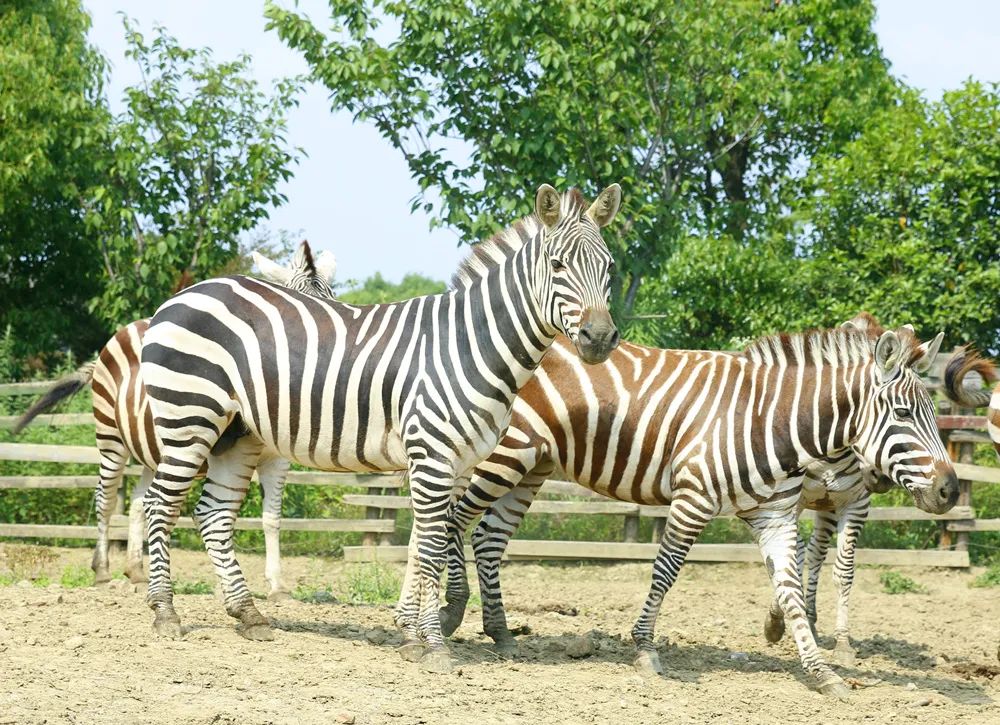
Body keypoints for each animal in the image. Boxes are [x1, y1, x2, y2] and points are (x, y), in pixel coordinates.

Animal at [13, 243, 338, 600]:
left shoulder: (277, 459)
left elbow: (271, 517)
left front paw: (277, 586)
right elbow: (219, 516)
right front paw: (226, 586)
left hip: (153, 449)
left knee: (139, 502)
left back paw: (136, 571)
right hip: (112, 440)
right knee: (106, 498)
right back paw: (102, 571)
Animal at [137, 184, 620, 672]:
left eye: (610, 267)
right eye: (557, 265)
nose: (599, 339)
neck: (470, 345)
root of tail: (188, 293)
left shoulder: (457, 461)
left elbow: (423, 543)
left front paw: (409, 634)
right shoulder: (432, 454)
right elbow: (430, 546)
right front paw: (434, 645)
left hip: (236, 433)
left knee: (213, 513)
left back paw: (248, 614)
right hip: (189, 418)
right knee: (160, 504)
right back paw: (165, 612)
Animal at [442, 322, 956, 696]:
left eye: (936, 413)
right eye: (904, 414)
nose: (950, 490)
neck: (769, 420)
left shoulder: (775, 516)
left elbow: (790, 589)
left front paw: (821, 671)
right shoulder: (693, 500)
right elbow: (665, 573)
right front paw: (644, 649)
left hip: (534, 464)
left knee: (487, 536)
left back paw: (500, 631)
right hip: (504, 453)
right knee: (453, 519)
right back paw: (449, 613)